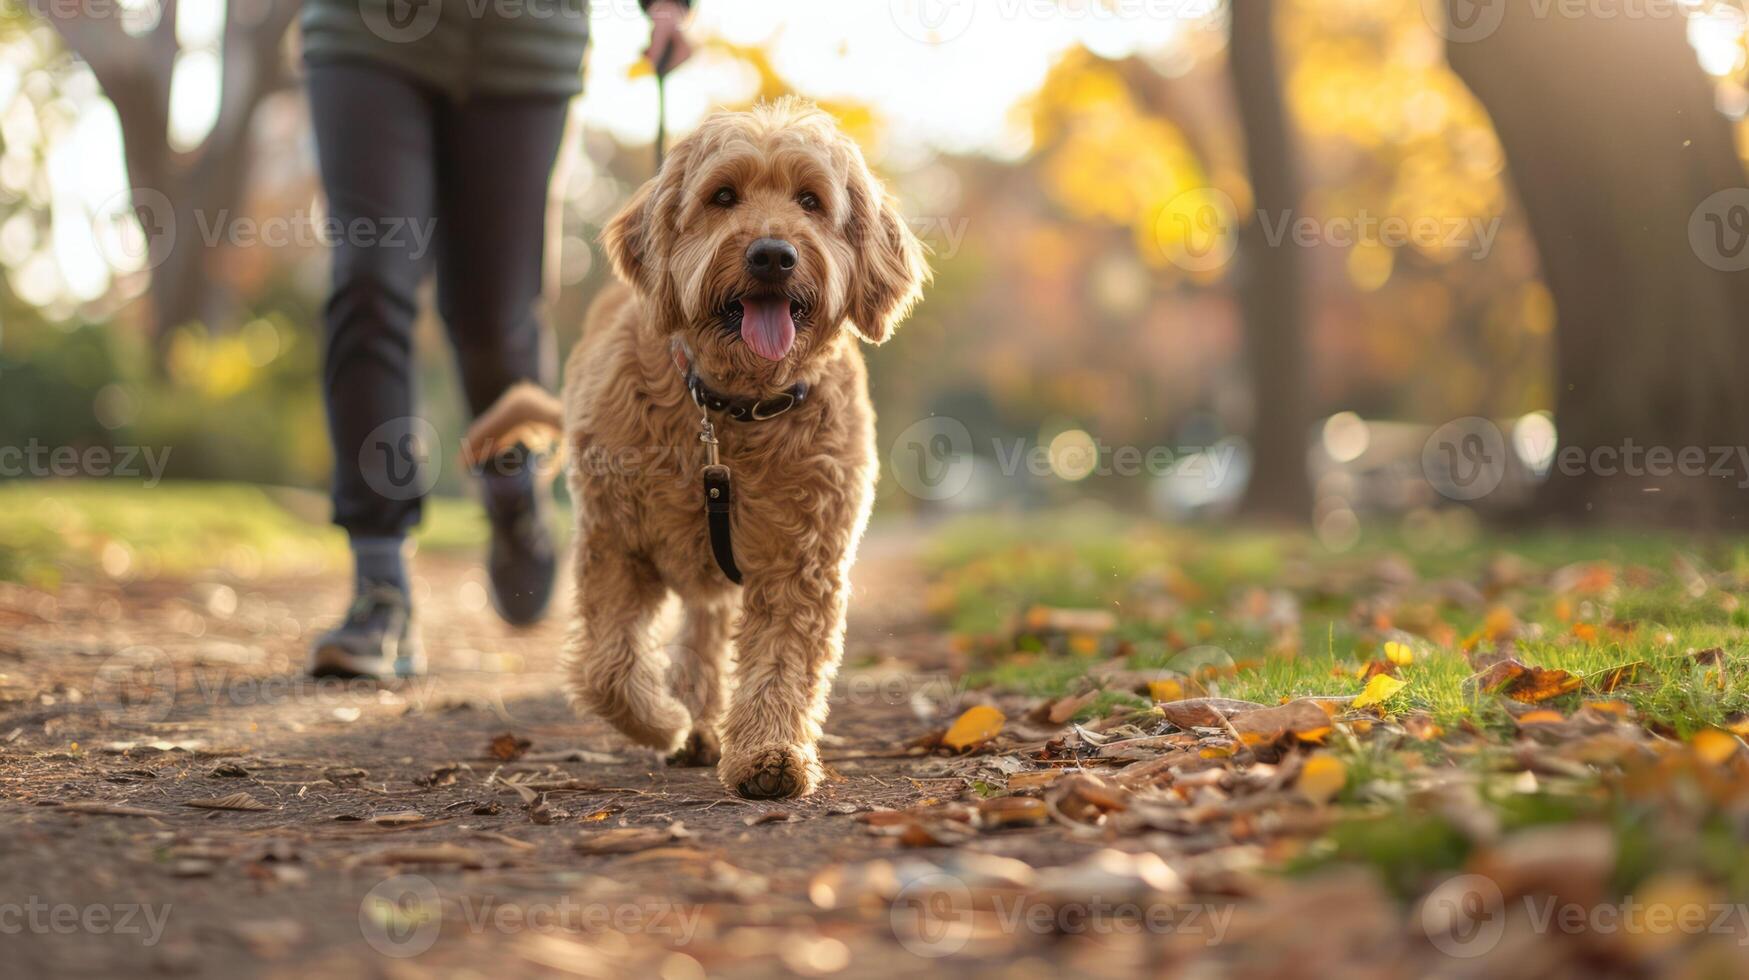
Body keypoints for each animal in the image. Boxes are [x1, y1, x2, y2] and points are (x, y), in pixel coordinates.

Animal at [461, 99, 930, 798]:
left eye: (811, 201)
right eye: (723, 196)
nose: (772, 255)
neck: (731, 411)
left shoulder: (801, 563)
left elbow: (782, 661)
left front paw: (769, 753)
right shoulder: (616, 545)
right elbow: (607, 666)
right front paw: (661, 722)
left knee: (707, 637)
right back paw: (691, 723)